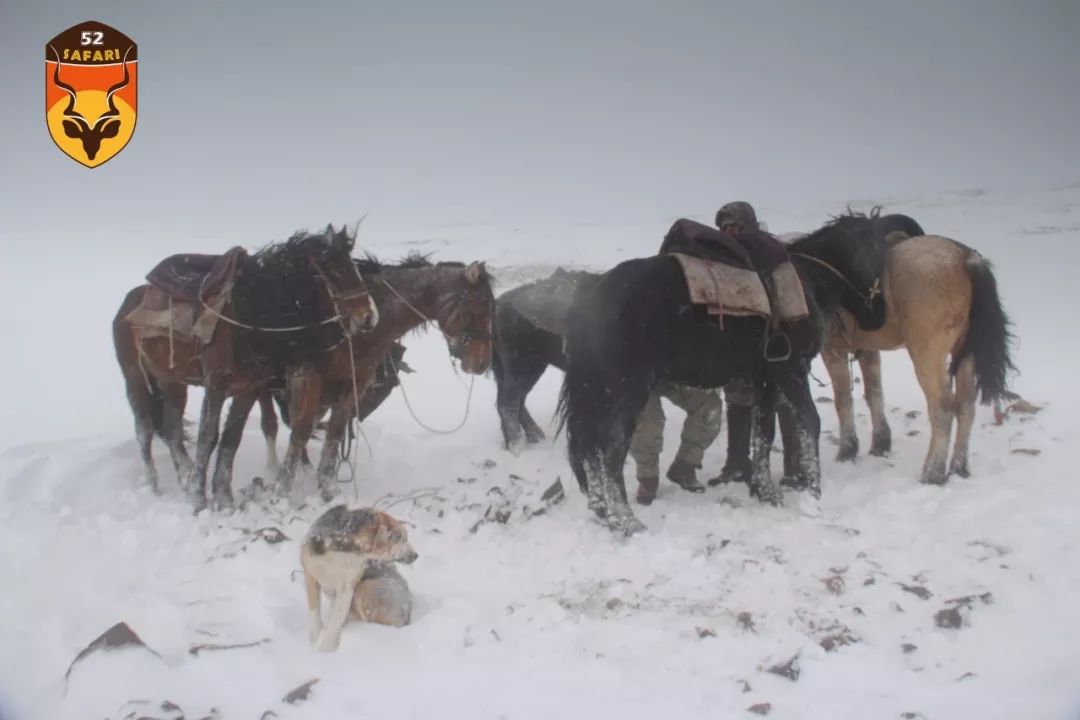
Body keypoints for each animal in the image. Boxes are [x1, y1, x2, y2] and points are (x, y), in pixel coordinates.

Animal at [113, 225, 380, 511]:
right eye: (337, 270)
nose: (369, 316)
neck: (250, 317)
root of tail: (128, 303)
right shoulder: (216, 386)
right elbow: (208, 438)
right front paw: (199, 499)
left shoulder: (248, 390)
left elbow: (231, 439)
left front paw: (223, 499)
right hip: (134, 378)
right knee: (144, 430)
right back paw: (153, 484)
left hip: (172, 381)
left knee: (172, 430)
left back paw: (184, 476)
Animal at [207, 250, 496, 505]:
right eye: (479, 306)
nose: (483, 363)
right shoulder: (306, 377)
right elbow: (300, 430)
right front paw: (284, 490)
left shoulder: (353, 383)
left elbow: (334, 430)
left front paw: (326, 486)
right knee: (271, 422)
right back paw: (273, 469)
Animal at [300, 507, 416, 651]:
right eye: (400, 538)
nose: (415, 555)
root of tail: (406, 611)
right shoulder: (310, 577)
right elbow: (315, 615)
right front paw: (315, 642)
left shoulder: (346, 589)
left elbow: (335, 622)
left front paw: (326, 650)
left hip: (365, 587)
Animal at [552, 211, 907, 533]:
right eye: (878, 258)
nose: (879, 316)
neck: (807, 280)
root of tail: (590, 297)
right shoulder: (791, 369)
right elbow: (809, 421)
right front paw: (812, 493)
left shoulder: (764, 378)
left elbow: (763, 433)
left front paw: (766, 492)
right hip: (628, 390)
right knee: (610, 449)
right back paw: (625, 520)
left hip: (600, 391)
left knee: (589, 449)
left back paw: (601, 510)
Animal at [816, 231, 1019, 483]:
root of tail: (965, 257)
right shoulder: (867, 348)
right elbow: (874, 393)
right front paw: (880, 443)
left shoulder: (832, 349)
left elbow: (843, 399)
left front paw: (847, 450)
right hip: (965, 353)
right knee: (966, 405)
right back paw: (958, 468)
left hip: (927, 356)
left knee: (942, 407)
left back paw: (932, 473)